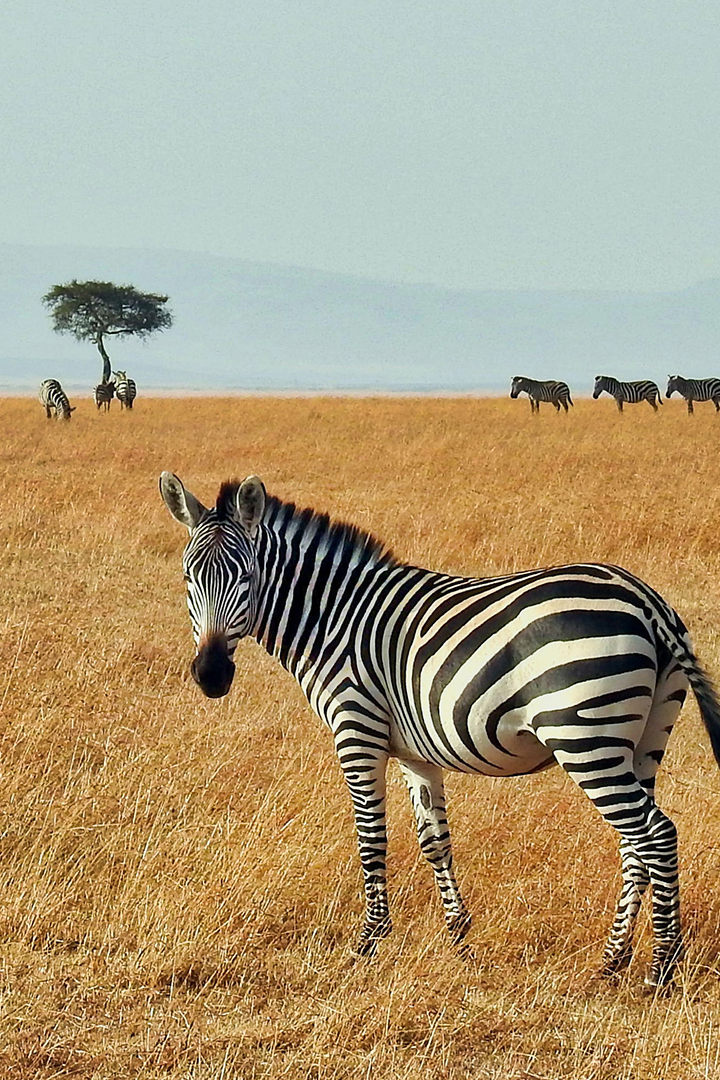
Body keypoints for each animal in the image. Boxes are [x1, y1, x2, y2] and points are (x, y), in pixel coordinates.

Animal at [159, 472, 720, 987]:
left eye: (244, 576)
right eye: (188, 577)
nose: (211, 675)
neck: (332, 618)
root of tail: (643, 597)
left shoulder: (357, 729)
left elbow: (371, 838)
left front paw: (369, 941)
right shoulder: (415, 752)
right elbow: (434, 840)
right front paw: (458, 936)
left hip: (585, 737)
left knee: (657, 834)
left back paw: (660, 970)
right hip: (643, 738)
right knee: (635, 844)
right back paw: (612, 962)